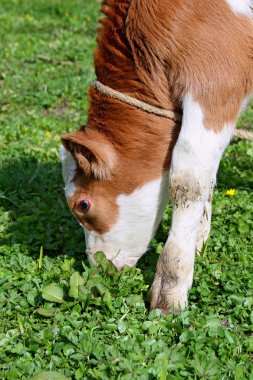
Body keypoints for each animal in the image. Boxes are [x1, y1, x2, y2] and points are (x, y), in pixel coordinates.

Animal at [59, 0, 253, 314]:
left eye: (83, 205)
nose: (99, 268)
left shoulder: (216, 83)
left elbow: (188, 179)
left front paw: (170, 287)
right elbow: (206, 174)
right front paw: (198, 241)